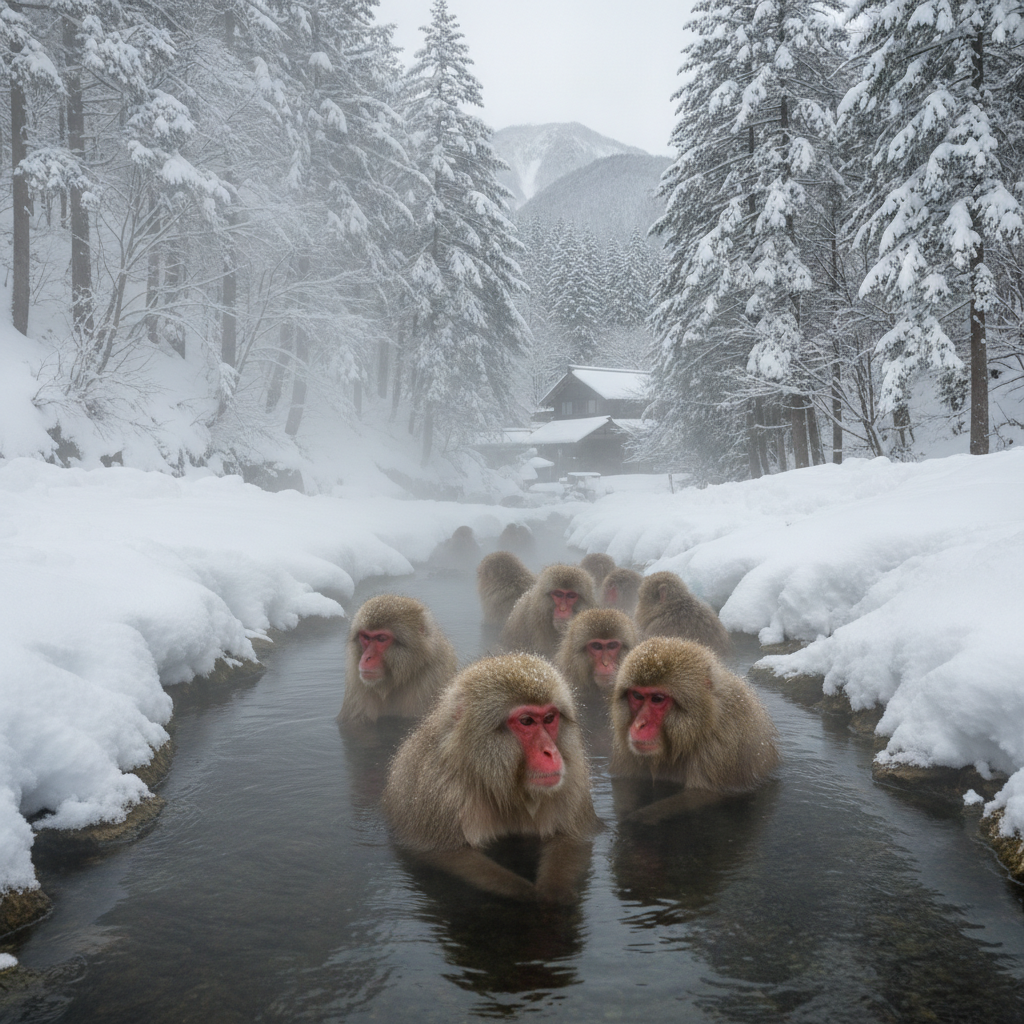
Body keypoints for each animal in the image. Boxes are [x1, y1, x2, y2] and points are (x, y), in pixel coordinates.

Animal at [382, 653, 599, 902]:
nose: (551, 752)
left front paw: (554, 892)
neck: (495, 783)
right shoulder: (438, 794)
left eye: (549, 718)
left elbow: (571, 840)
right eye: (527, 721)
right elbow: (445, 855)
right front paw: (527, 894)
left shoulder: (573, 782)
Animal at [610, 637, 780, 822]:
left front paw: (640, 817)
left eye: (657, 699)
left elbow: (706, 794)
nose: (639, 724)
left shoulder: (725, 746)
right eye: (637, 696)